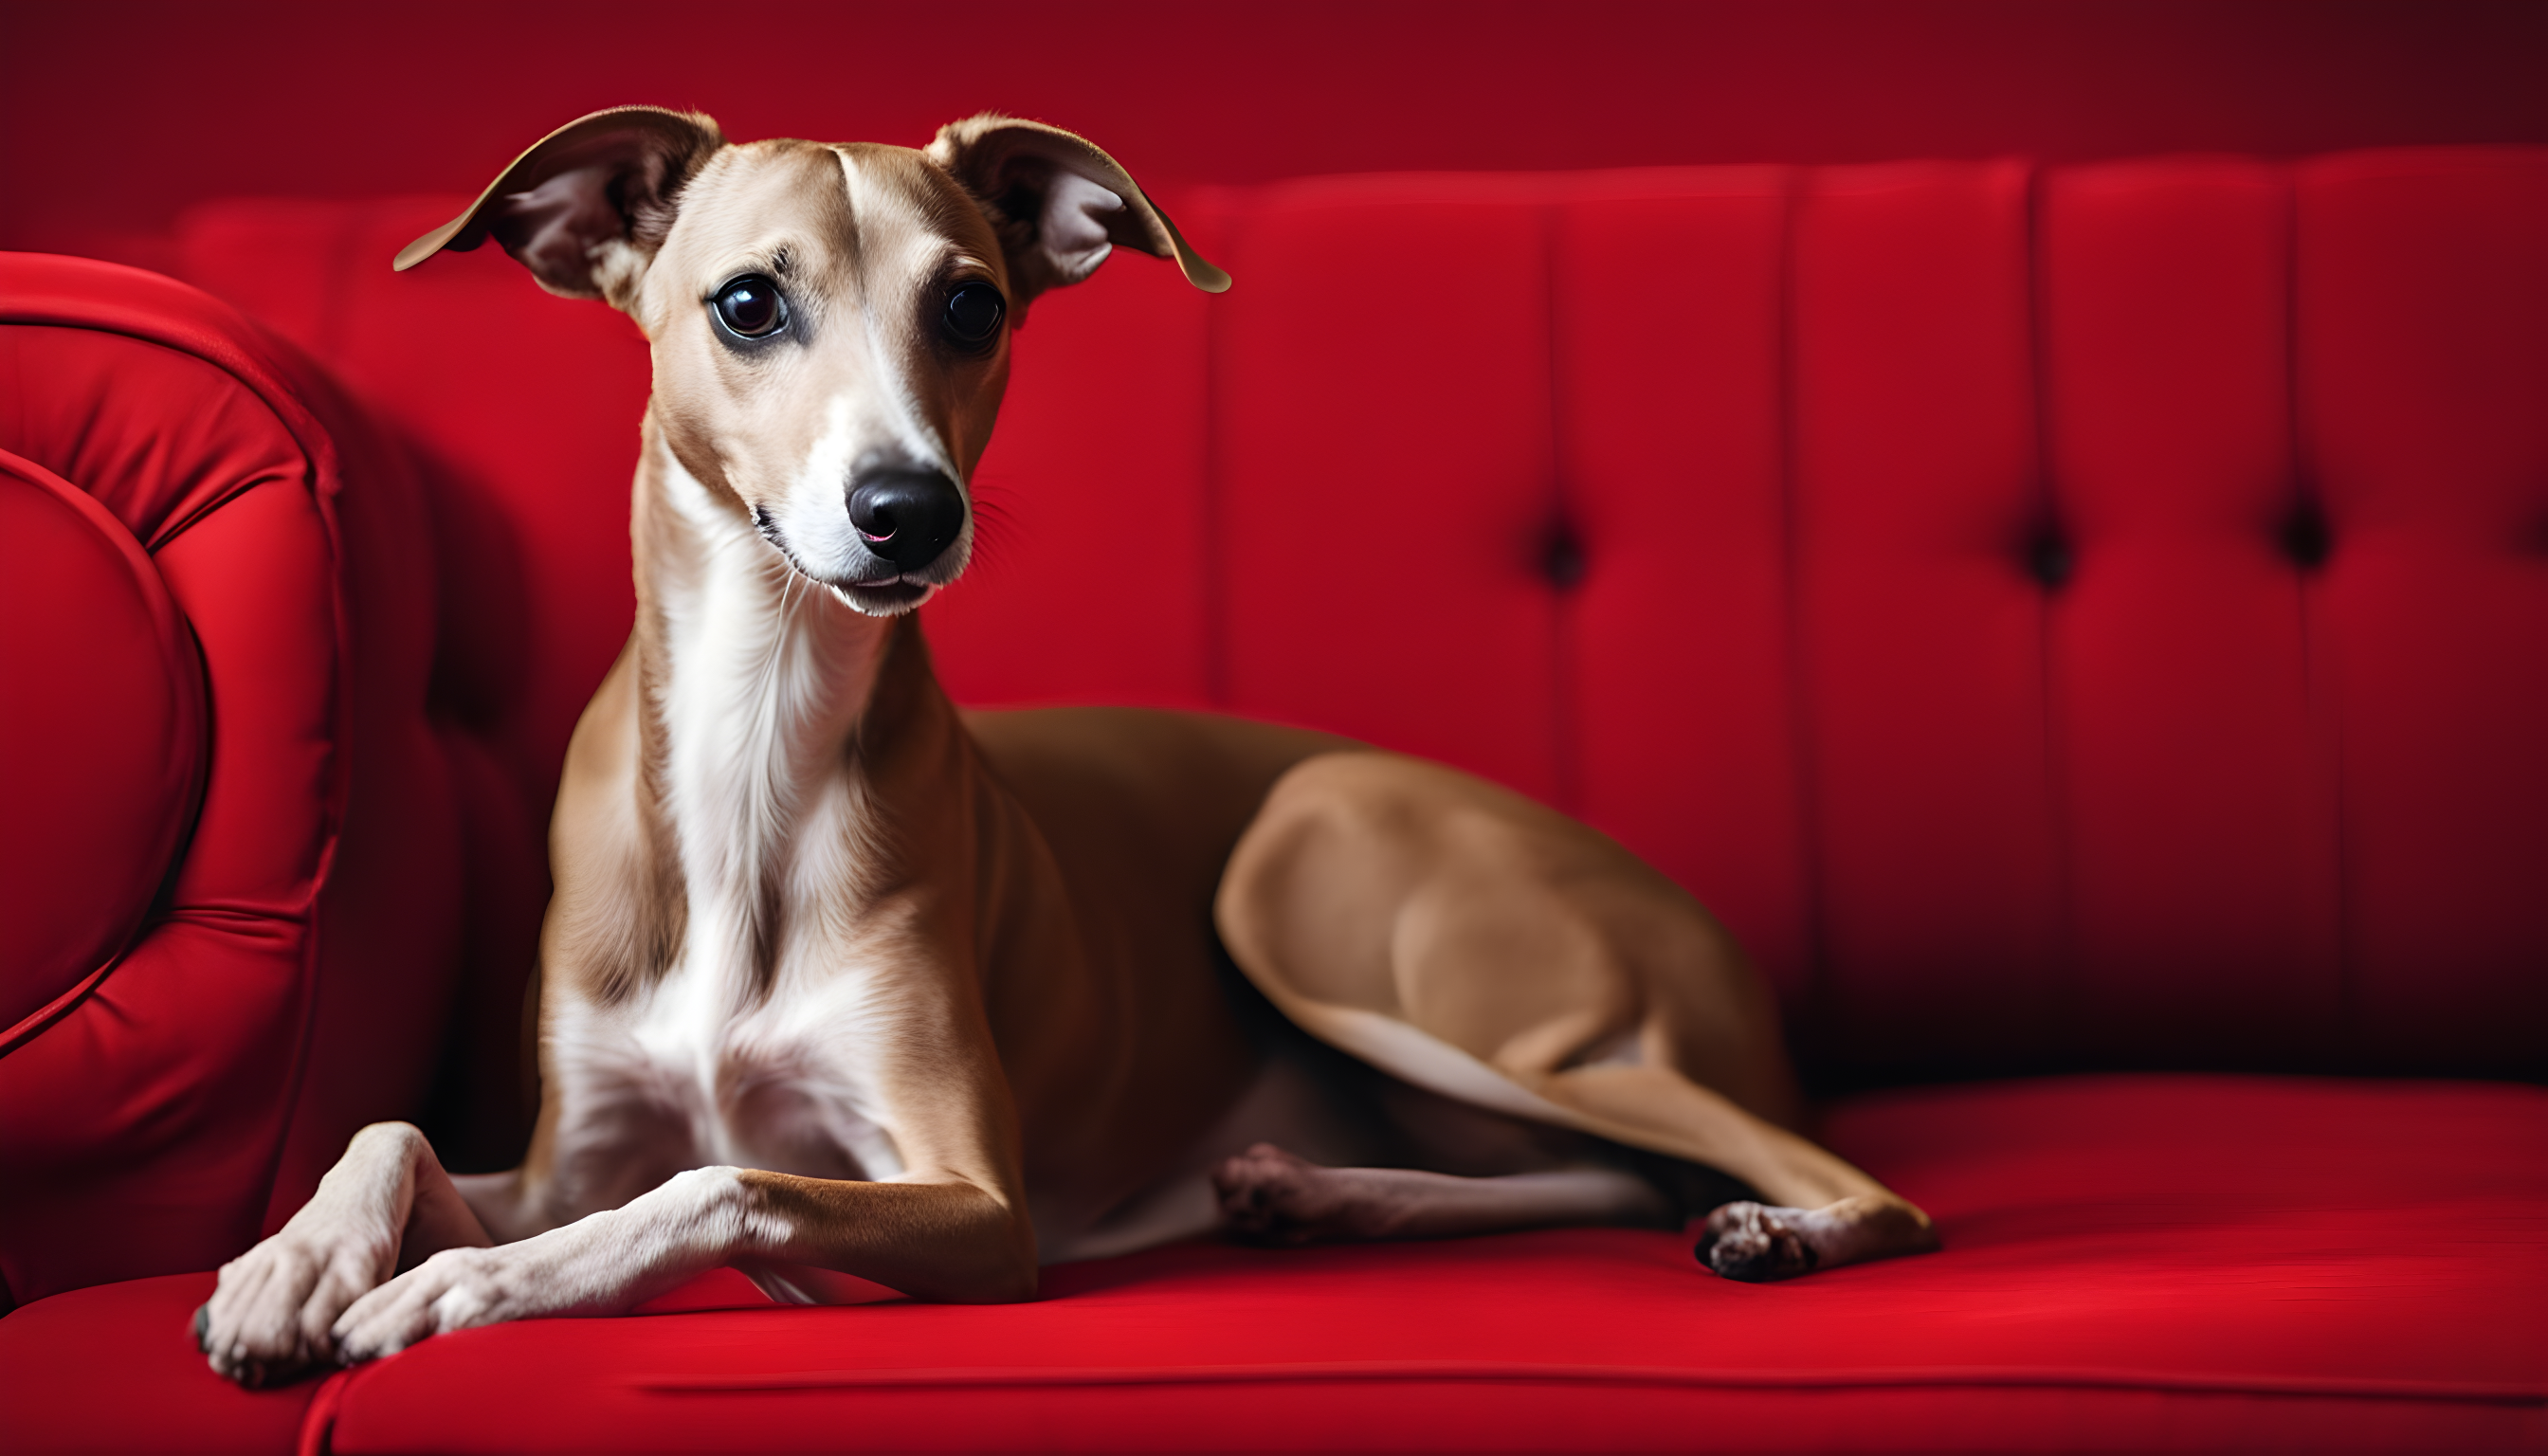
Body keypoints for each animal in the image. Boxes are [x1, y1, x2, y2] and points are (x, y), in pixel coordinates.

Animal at [198, 104, 1936, 1387]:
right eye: (748, 301)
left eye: (969, 301)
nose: (906, 510)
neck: (760, 741)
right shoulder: (573, 1148)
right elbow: (400, 1128)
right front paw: (288, 1266)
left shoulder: (980, 1206)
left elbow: (729, 1183)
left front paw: (459, 1289)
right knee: (1624, 1173)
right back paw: (1316, 1189)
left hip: (1326, 888)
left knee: (1808, 1175)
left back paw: (1785, 1229)